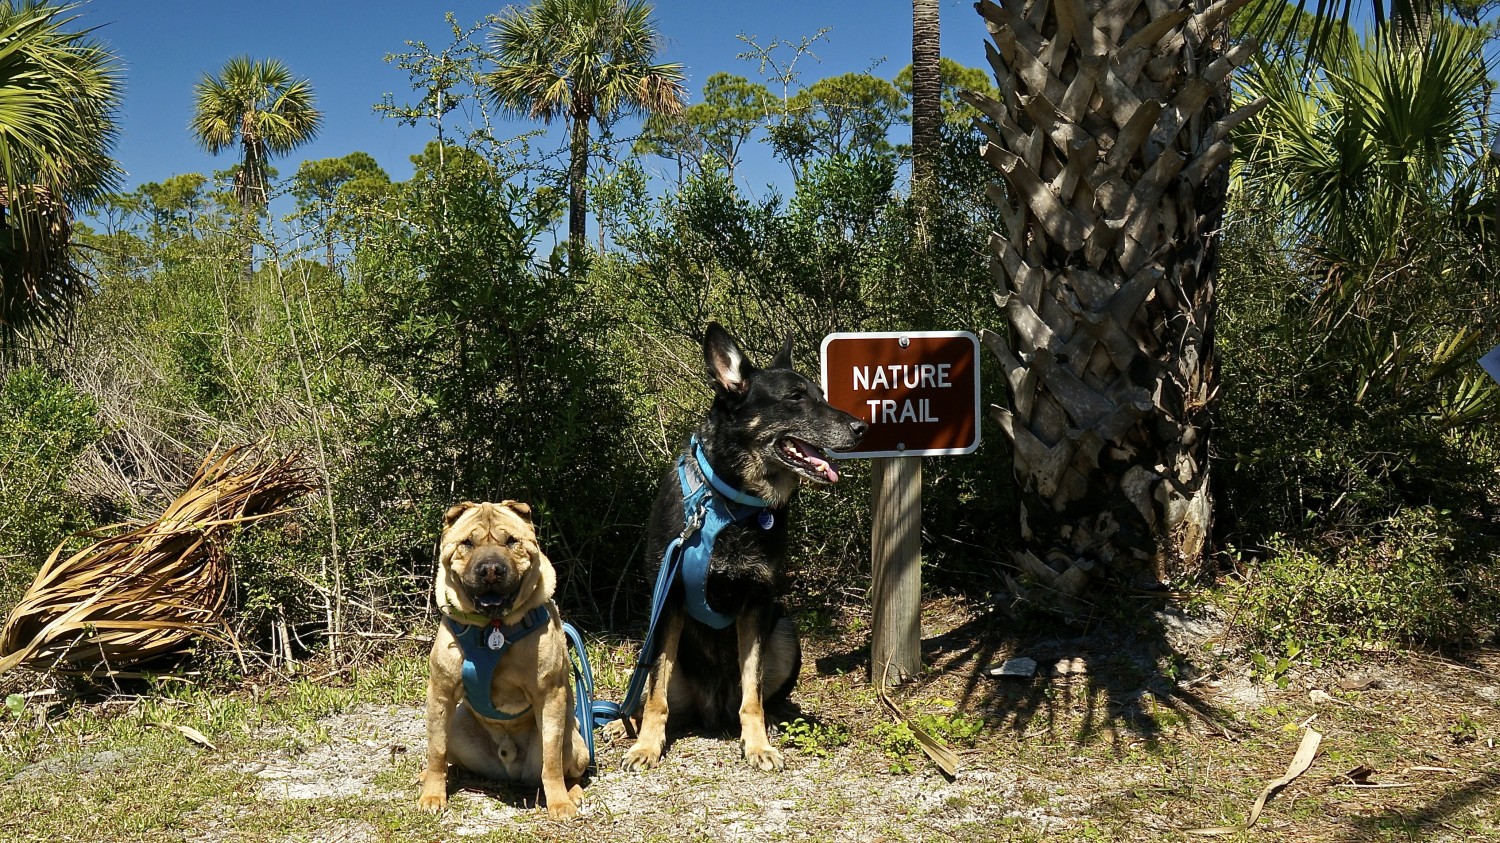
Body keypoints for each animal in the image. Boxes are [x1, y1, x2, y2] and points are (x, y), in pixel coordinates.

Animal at [423, 498, 591, 816]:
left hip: (575, 743)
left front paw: (559, 803)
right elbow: (436, 750)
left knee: (566, 768)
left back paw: (572, 792)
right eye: (467, 543)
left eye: (512, 541)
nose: (490, 569)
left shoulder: (549, 694)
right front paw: (432, 794)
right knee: (451, 754)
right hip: (458, 726)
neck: (492, 628)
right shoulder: (441, 693)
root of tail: (508, 766)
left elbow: (551, 762)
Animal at [612, 321, 870, 768]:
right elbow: (656, 698)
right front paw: (646, 746)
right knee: (651, 698)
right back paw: (618, 724)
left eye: (821, 395)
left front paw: (758, 744)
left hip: (784, 629)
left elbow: (753, 693)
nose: (861, 428)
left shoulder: (757, 602)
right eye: (796, 397)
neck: (729, 502)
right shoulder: (668, 601)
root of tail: (712, 710)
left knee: (763, 698)